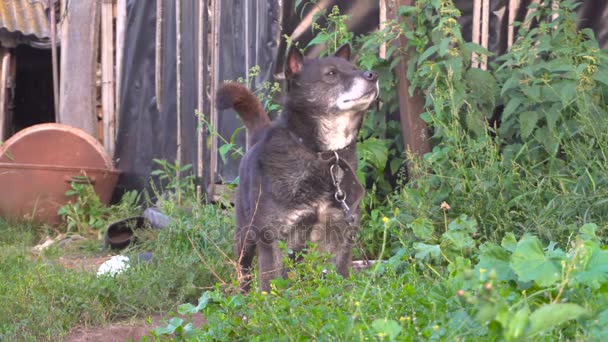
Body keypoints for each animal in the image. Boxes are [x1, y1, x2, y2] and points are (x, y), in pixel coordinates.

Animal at [216, 44, 378, 292]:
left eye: (355, 68)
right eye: (331, 73)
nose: (373, 75)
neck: (322, 154)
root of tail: (258, 136)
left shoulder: (340, 235)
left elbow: (340, 280)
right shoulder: (271, 238)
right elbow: (271, 286)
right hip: (245, 236)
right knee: (244, 272)